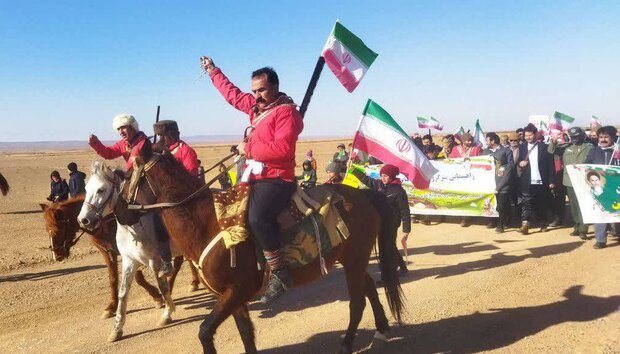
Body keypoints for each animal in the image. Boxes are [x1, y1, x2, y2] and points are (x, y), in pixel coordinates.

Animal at [40, 195, 201, 320]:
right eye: (46, 230)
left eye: (56, 230)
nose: (56, 255)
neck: (105, 221)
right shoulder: (107, 252)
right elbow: (113, 279)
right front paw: (111, 307)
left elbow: (138, 277)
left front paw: (156, 296)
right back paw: (192, 282)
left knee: (182, 259)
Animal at [77, 162, 191, 342]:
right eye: (86, 188)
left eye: (101, 190)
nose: (84, 220)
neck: (133, 225)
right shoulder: (129, 261)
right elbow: (123, 293)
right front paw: (116, 329)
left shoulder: (155, 261)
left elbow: (162, 286)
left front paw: (167, 313)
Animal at [128, 140, 404, 352]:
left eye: (130, 175)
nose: (122, 213)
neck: (208, 221)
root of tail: (365, 195)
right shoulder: (234, 296)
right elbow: (245, 333)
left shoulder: (237, 290)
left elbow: (205, 331)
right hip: (352, 259)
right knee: (369, 286)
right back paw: (382, 329)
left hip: (354, 260)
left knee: (357, 302)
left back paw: (347, 344)